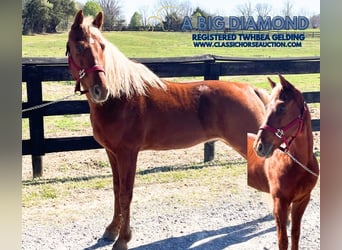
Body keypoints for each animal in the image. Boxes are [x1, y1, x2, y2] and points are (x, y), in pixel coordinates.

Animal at [67, 10, 270, 249]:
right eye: (78, 47)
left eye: (102, 46)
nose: (102, 89)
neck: (121, 98)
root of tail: (251, 89)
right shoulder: (112, 153)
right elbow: (117, 190)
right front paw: (111, 230)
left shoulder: (128, 154)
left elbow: (126, 194)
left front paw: (123, 239)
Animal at [247, 74, 320, 250]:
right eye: (266, 107)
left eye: (281, 108)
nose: (259, 146)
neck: (298, 165)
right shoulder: (280, 203)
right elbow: (283, 240)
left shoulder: (302, 200)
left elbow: (295, 233)